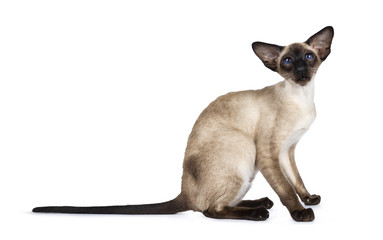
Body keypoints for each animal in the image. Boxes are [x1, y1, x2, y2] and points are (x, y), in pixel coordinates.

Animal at [33, 25, 334, 221]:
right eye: (287, 61)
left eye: (308, 57)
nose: (300, 71)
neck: (302, 97)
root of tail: (184, 192)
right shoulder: (269, 153)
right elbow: (285, 189)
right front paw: (300, 212)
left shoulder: (287, 151)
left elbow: (296, 180)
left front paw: (309, 199)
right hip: (243, 148)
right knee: (209, 210)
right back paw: (259, 211)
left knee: (212, 205)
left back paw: (260, 202)